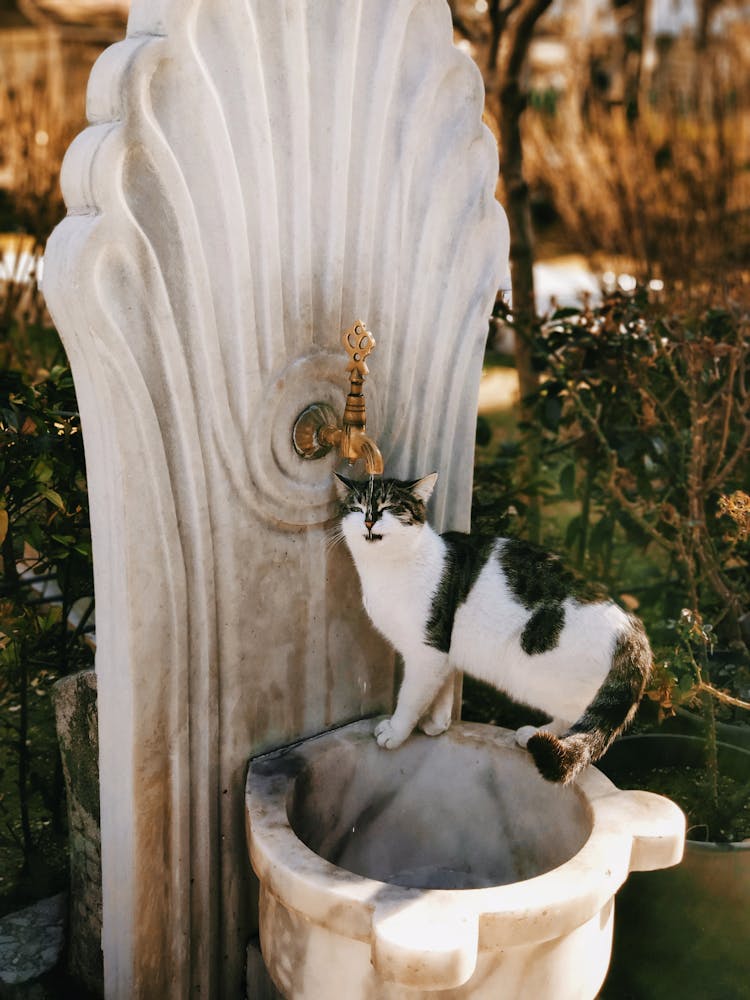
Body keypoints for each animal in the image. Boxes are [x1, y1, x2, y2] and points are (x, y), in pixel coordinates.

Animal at [334, 472, 652, 784]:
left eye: (389, 507)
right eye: (358, 508)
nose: (369, 521)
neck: (387, 568)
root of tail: (631, 627)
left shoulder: (427, 653)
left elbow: (411, 698)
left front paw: (396, 732)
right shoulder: (444, 654)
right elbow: (442, 691)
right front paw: (437, 725)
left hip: (537, 675)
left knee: (580, 718)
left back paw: (543, 736)